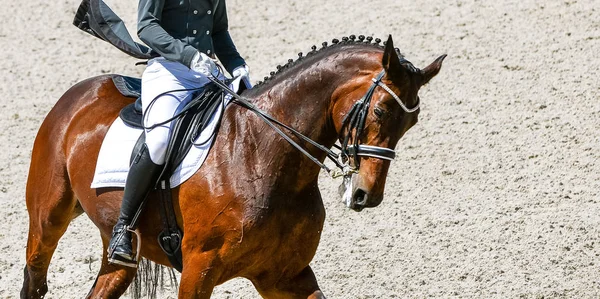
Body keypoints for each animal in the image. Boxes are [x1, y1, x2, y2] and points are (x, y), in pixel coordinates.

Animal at [22, 36, 446, 298]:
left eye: (412, 123)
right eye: (381, 110)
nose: (365, 195)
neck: (263, 157)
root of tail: (78, 93)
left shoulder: (283, 273)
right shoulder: (198, 269)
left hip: (118, 249)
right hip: (48, 219)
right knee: (35, 278)